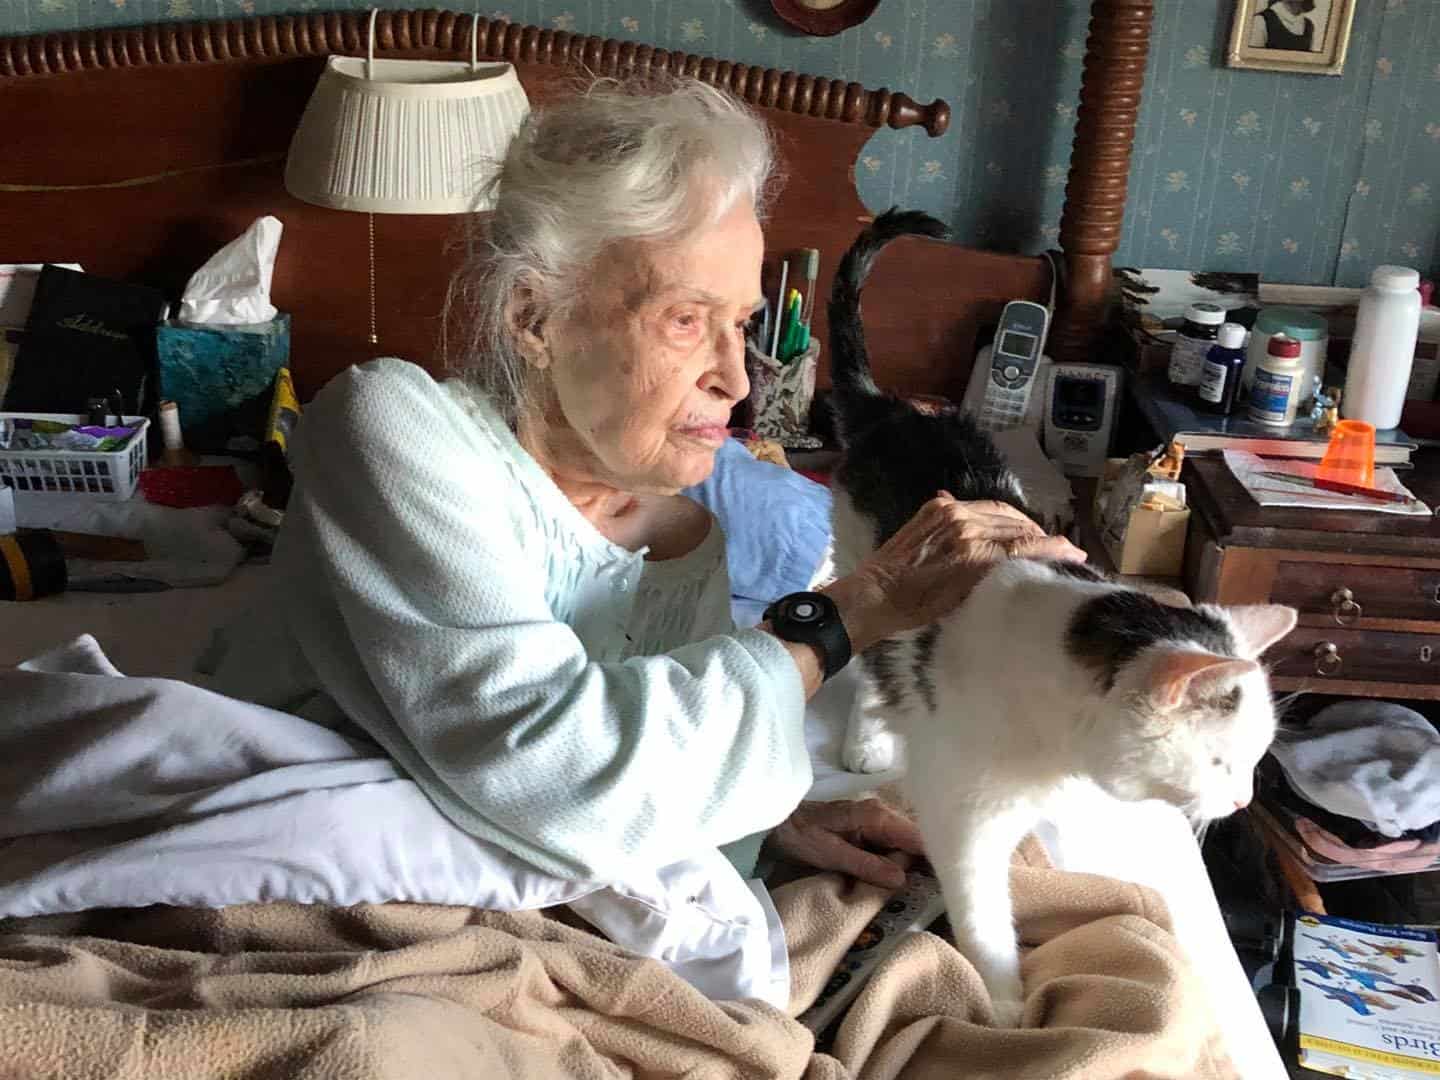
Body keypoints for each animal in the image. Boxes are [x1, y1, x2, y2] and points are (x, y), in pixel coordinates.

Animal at [829, 211, 1301, 1031]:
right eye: (1220, 763)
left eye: (1257, 760)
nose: (1244, 801)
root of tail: (896, 411)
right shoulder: (965, 821)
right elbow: (986, 923)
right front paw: (1008, 1009)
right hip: (869, 578)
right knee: (868, 662)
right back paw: (868, 736)